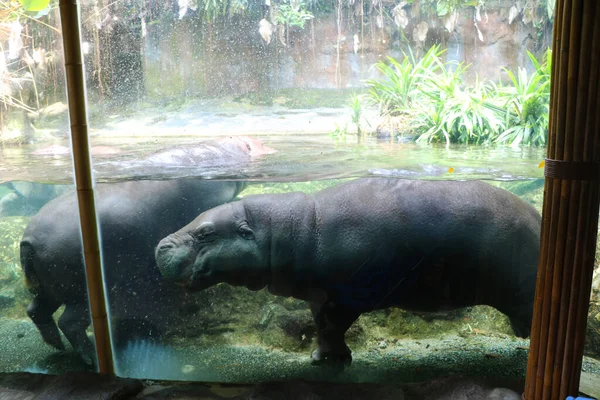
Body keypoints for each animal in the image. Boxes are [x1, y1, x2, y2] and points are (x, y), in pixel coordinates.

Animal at [156, 178, 544, 366]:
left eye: (206, 232)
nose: (160, 245)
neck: (281, 229)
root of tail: (541, 219)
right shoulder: (318, 296)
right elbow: (322, 328)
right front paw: (324, 358)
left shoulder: (344, 298)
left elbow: (332, 328)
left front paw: (330, 360)